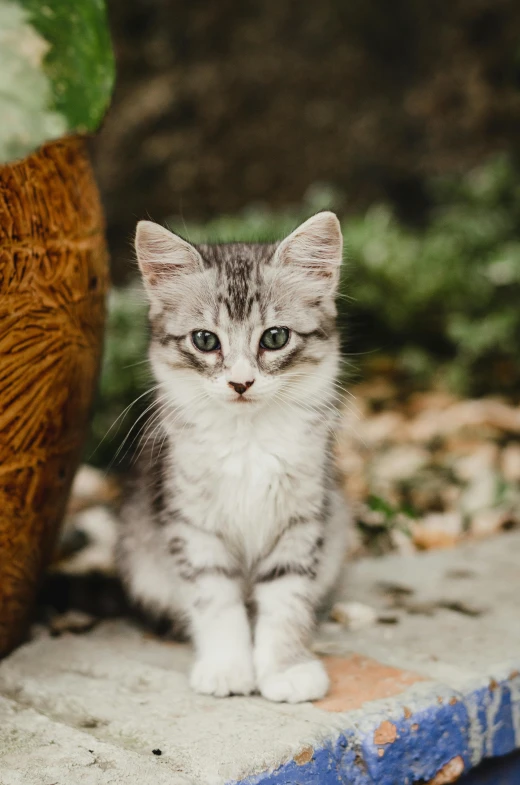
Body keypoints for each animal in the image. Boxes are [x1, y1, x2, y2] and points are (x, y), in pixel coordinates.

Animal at [117, 211, 350, 700]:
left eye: (275, 337)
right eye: (205, 341)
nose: (241, 382)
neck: (247, 440)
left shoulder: (300, 516)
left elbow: (286, 598)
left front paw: (285, 667)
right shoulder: (192, 522)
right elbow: (215, 599)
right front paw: (227, 666)